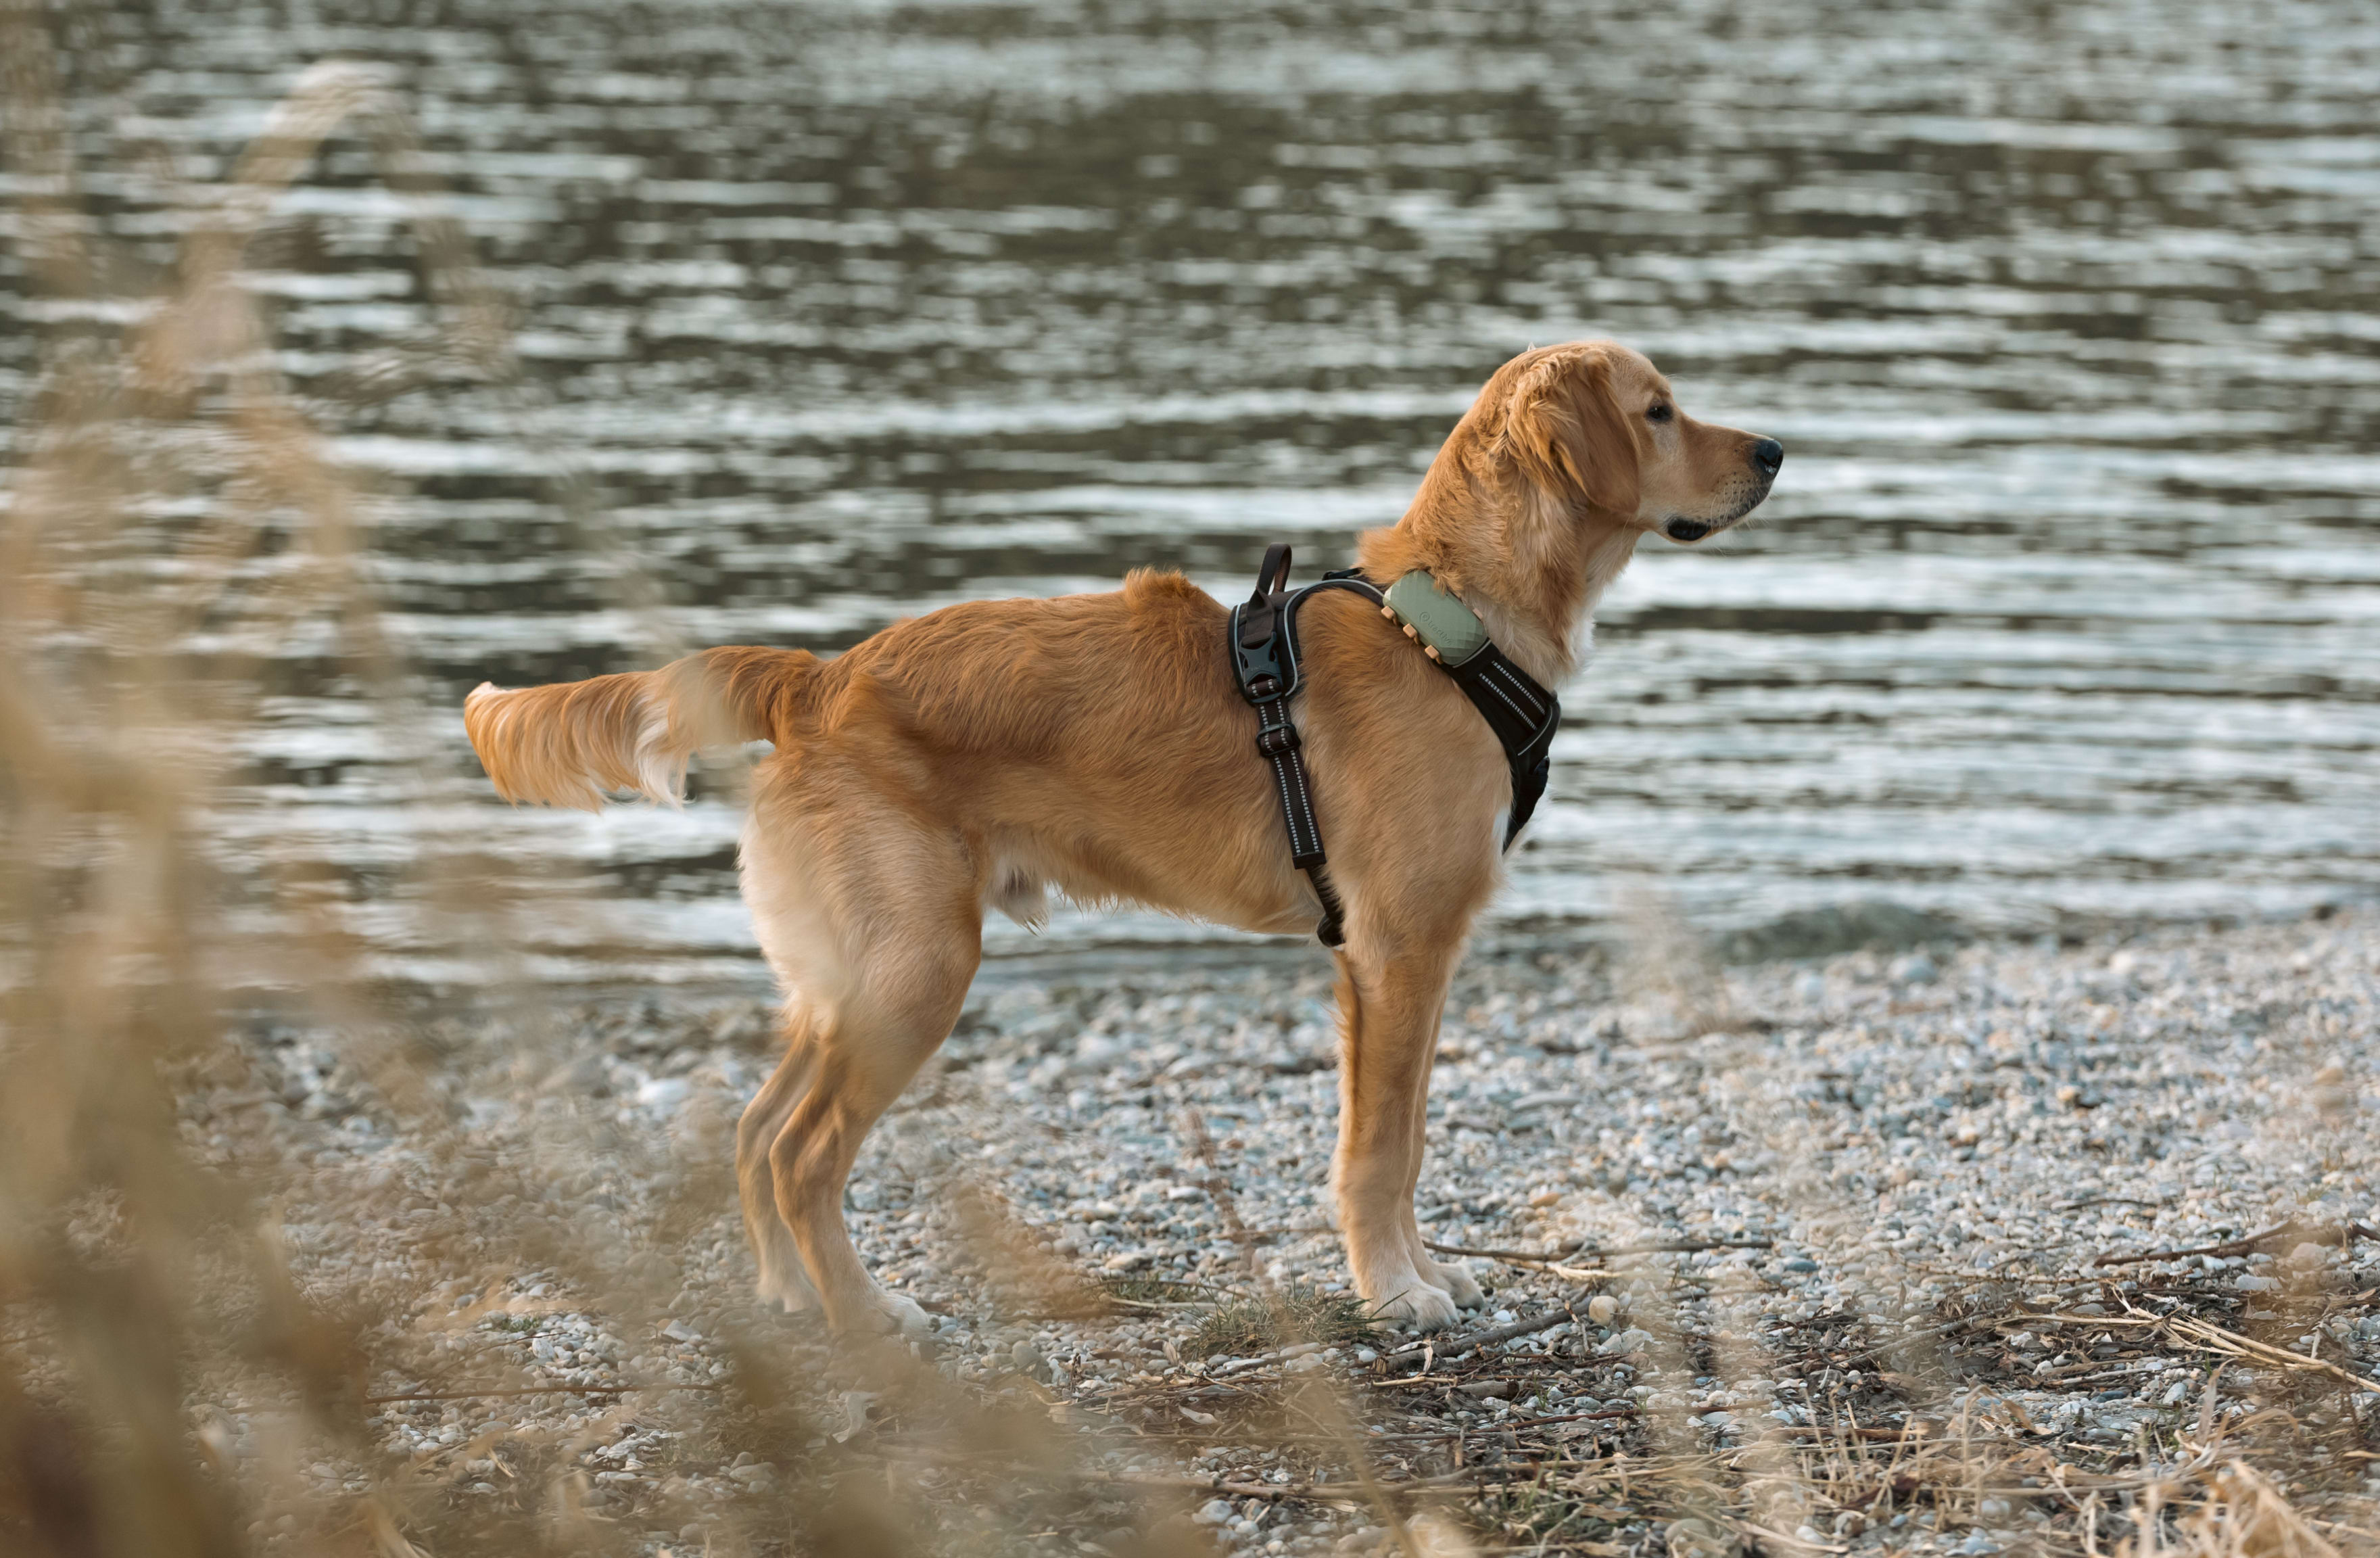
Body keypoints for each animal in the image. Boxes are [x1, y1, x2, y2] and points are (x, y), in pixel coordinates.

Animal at [464, 337, 1780, 1331]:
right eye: (1660, 412)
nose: (1774, 450)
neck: (1448, 625)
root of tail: (819, 678)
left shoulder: (1410, 960)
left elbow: (1402, 1143)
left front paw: (1419, 1273)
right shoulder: (1396, 952)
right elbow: (1378, 1151)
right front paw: (1393, 1291)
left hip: (847, 978)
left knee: (750, 1134)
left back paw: (791, 1301)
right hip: (915, 973)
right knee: (799, 1156)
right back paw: (867, 1318)